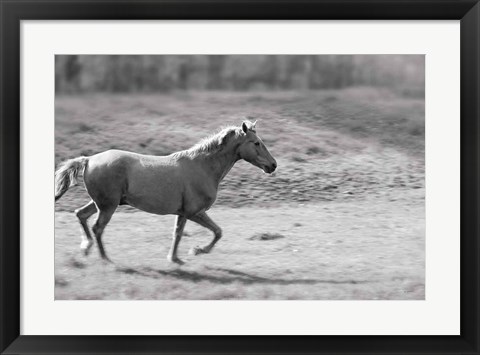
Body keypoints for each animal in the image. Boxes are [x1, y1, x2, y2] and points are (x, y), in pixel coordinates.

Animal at [54, 121, 276, 264]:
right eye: (256, 143)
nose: (273, 165)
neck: (203, 167)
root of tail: (89, 159)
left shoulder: (184, 213)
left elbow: (187, 233)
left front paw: (179, 257)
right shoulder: (193, 212)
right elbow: (212, 232)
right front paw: (193, 252)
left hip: (102, 203)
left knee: (81, 215)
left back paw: (86, 248)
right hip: (108, 206)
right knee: (97, 228)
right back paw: (105, 258)